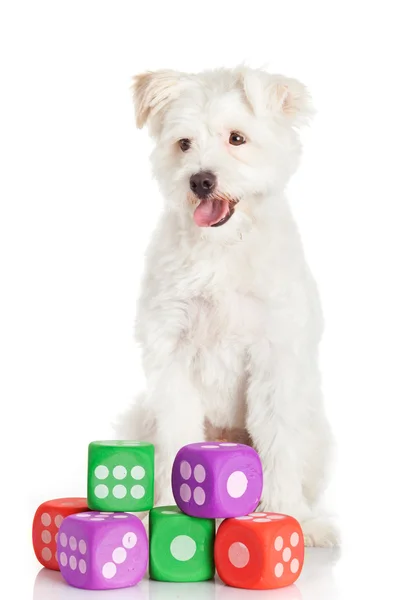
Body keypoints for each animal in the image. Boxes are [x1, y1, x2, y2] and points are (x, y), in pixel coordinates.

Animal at [121, 67, 338, 548]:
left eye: (236, 138)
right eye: (183, 143)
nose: (200, 180)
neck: (221, 249)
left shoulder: (274, 358)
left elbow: (278, 443)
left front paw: (286, 515)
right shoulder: (172, 354)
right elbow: (176, 437)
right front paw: (168, 512)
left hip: (314, 428)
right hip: (139, 417)